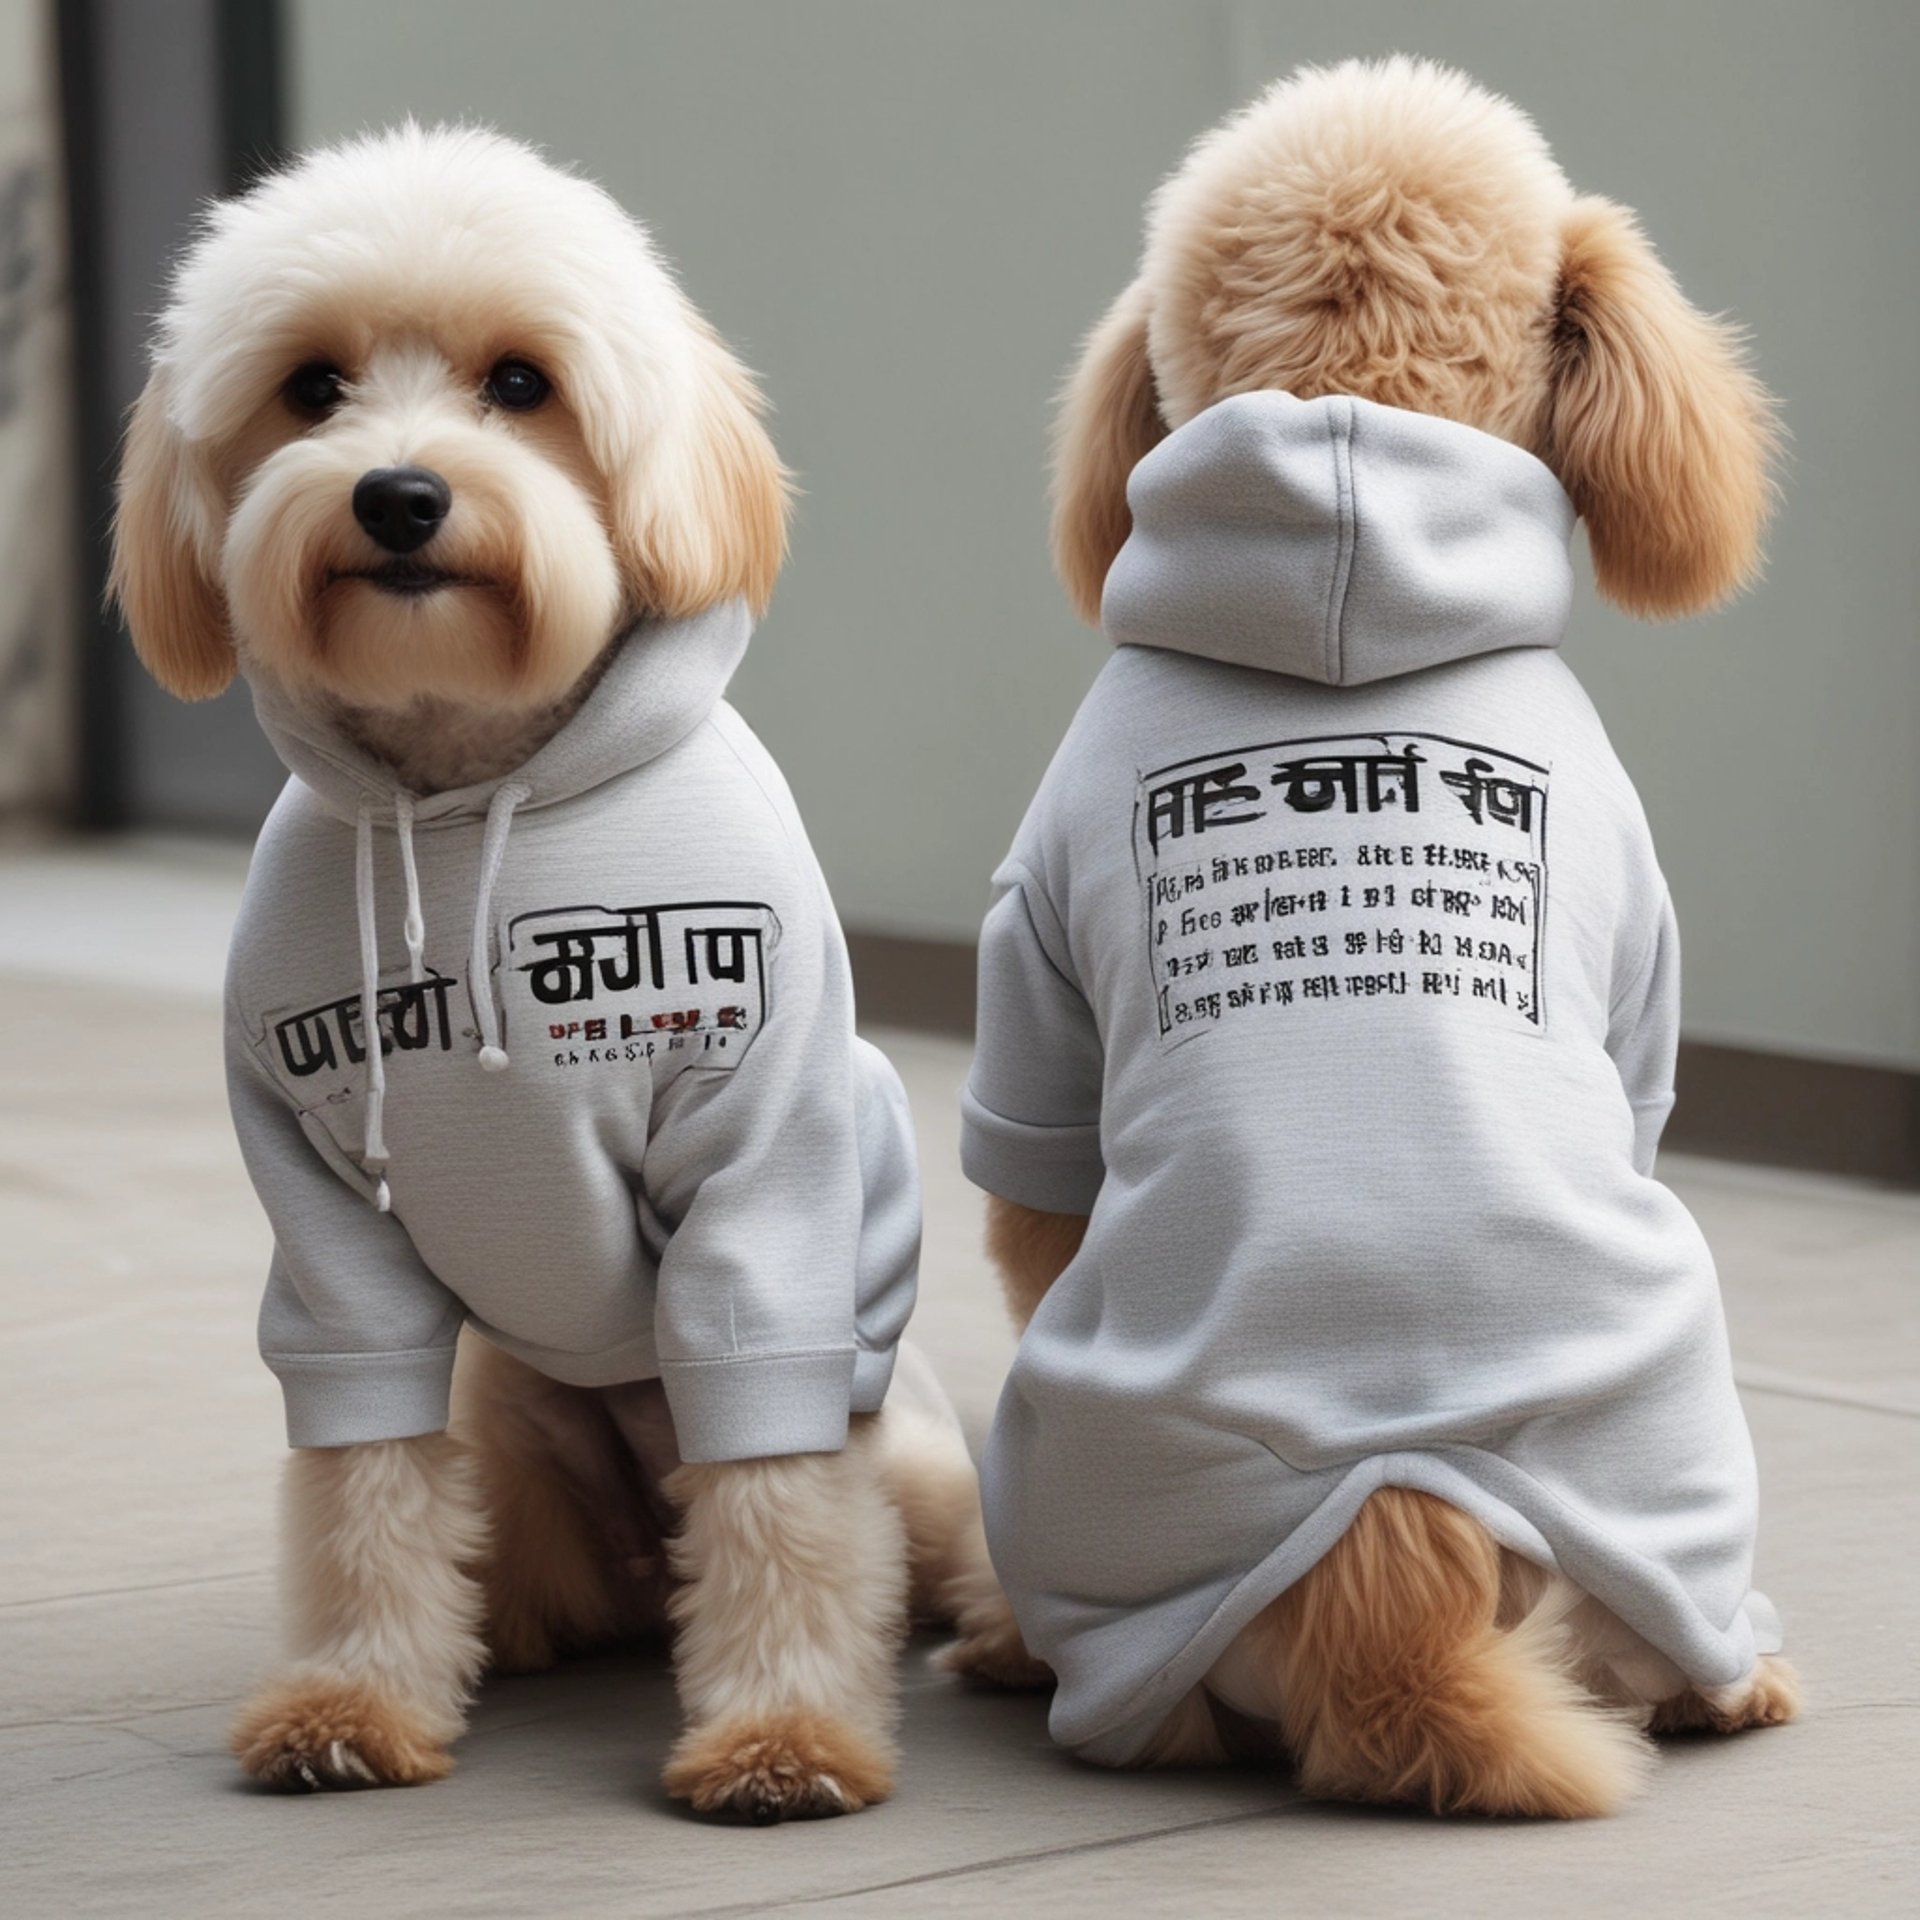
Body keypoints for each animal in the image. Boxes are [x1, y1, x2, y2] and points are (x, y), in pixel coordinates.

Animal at [108, 127, 1036, 1820]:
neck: (466, 795)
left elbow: (778, 1484)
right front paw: (353, 1696)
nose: (400, 494)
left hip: (917, 1454)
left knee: (913, 1537)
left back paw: (1006, 1635)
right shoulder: (328, 1208)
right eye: (312, 387)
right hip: (516, 1428)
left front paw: (781, 1734)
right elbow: (363, 1469)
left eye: (521, 384)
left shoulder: (757, 1166)